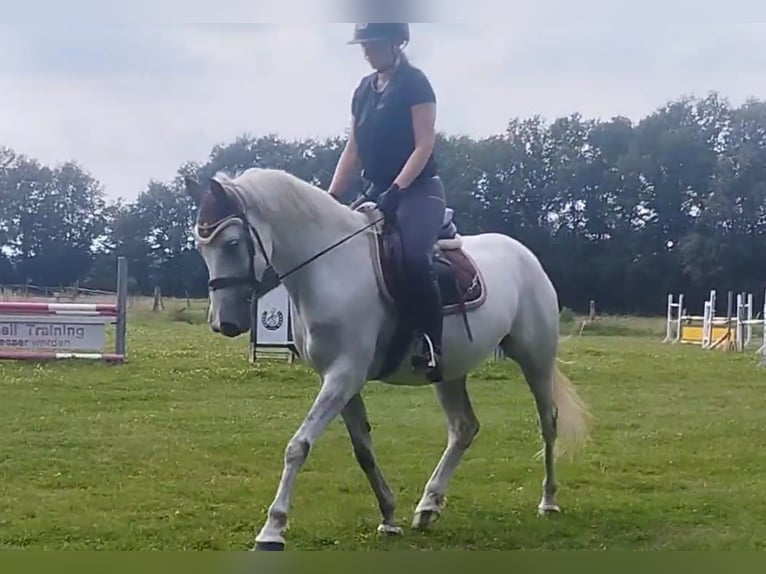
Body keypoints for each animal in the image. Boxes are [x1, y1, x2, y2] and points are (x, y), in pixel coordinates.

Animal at [183, 168, 592, 552]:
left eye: (232, 243)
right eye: (202, 249)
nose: (224, 323)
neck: (333, 267)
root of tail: (526, 257)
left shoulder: (344, 375)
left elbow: (299, 445)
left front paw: (272, 528)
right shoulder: (338, 380)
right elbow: (363, 450)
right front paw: (389, 515)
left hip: (535, 359)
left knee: (547, 424)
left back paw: (548, 501)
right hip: (449, 372)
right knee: (464, 428)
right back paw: (428, 506)